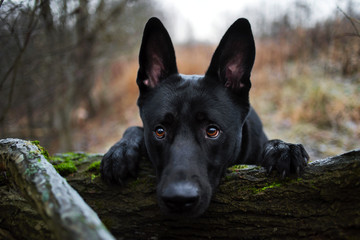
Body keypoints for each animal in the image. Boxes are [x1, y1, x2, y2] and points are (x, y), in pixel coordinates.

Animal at [100, 17, 308, 218]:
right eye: (159, 131)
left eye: (212, 131)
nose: (179, 200)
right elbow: (133, 128)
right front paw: (121, 151)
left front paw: (283, 148)